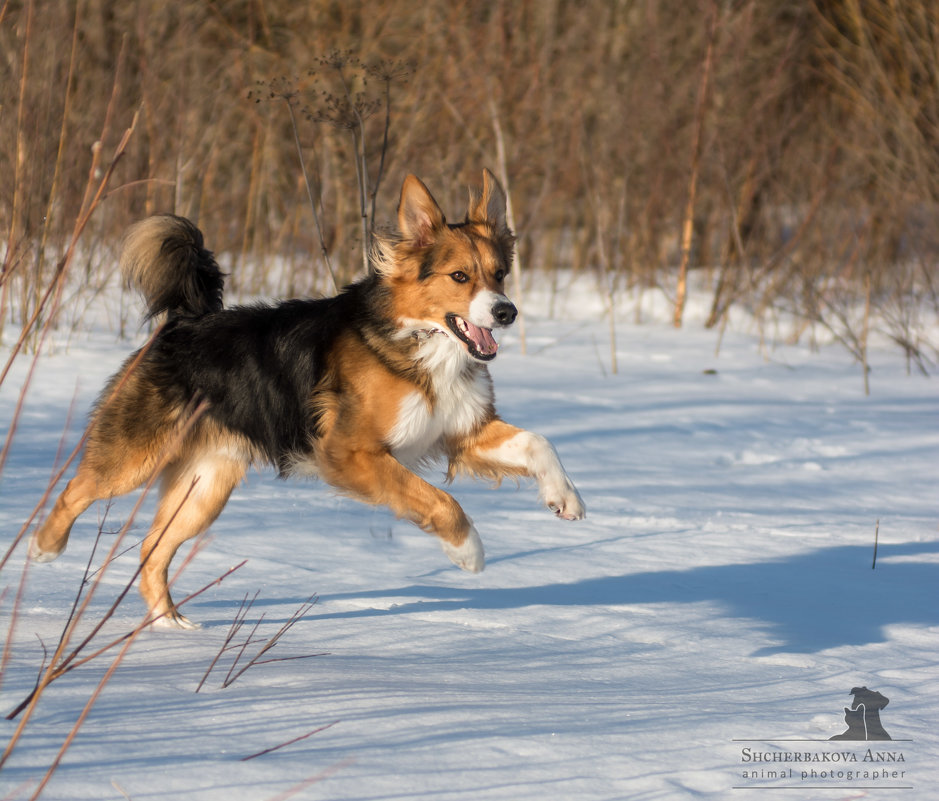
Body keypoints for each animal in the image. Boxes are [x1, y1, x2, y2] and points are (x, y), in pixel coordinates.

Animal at [27, 172, 588, 628]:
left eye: (501, 273)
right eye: (460, 277)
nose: (507, 311)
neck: (421, 344)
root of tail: (186, 320)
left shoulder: (462, 433)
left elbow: (539, 442)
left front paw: (565, 496)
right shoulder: (349, 453)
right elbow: (438, 501)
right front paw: (468, 552)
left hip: (206, 483)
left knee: (152, 546)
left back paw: (170, 625)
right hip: (139, 455)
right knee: (75, 491)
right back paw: (43, 549)